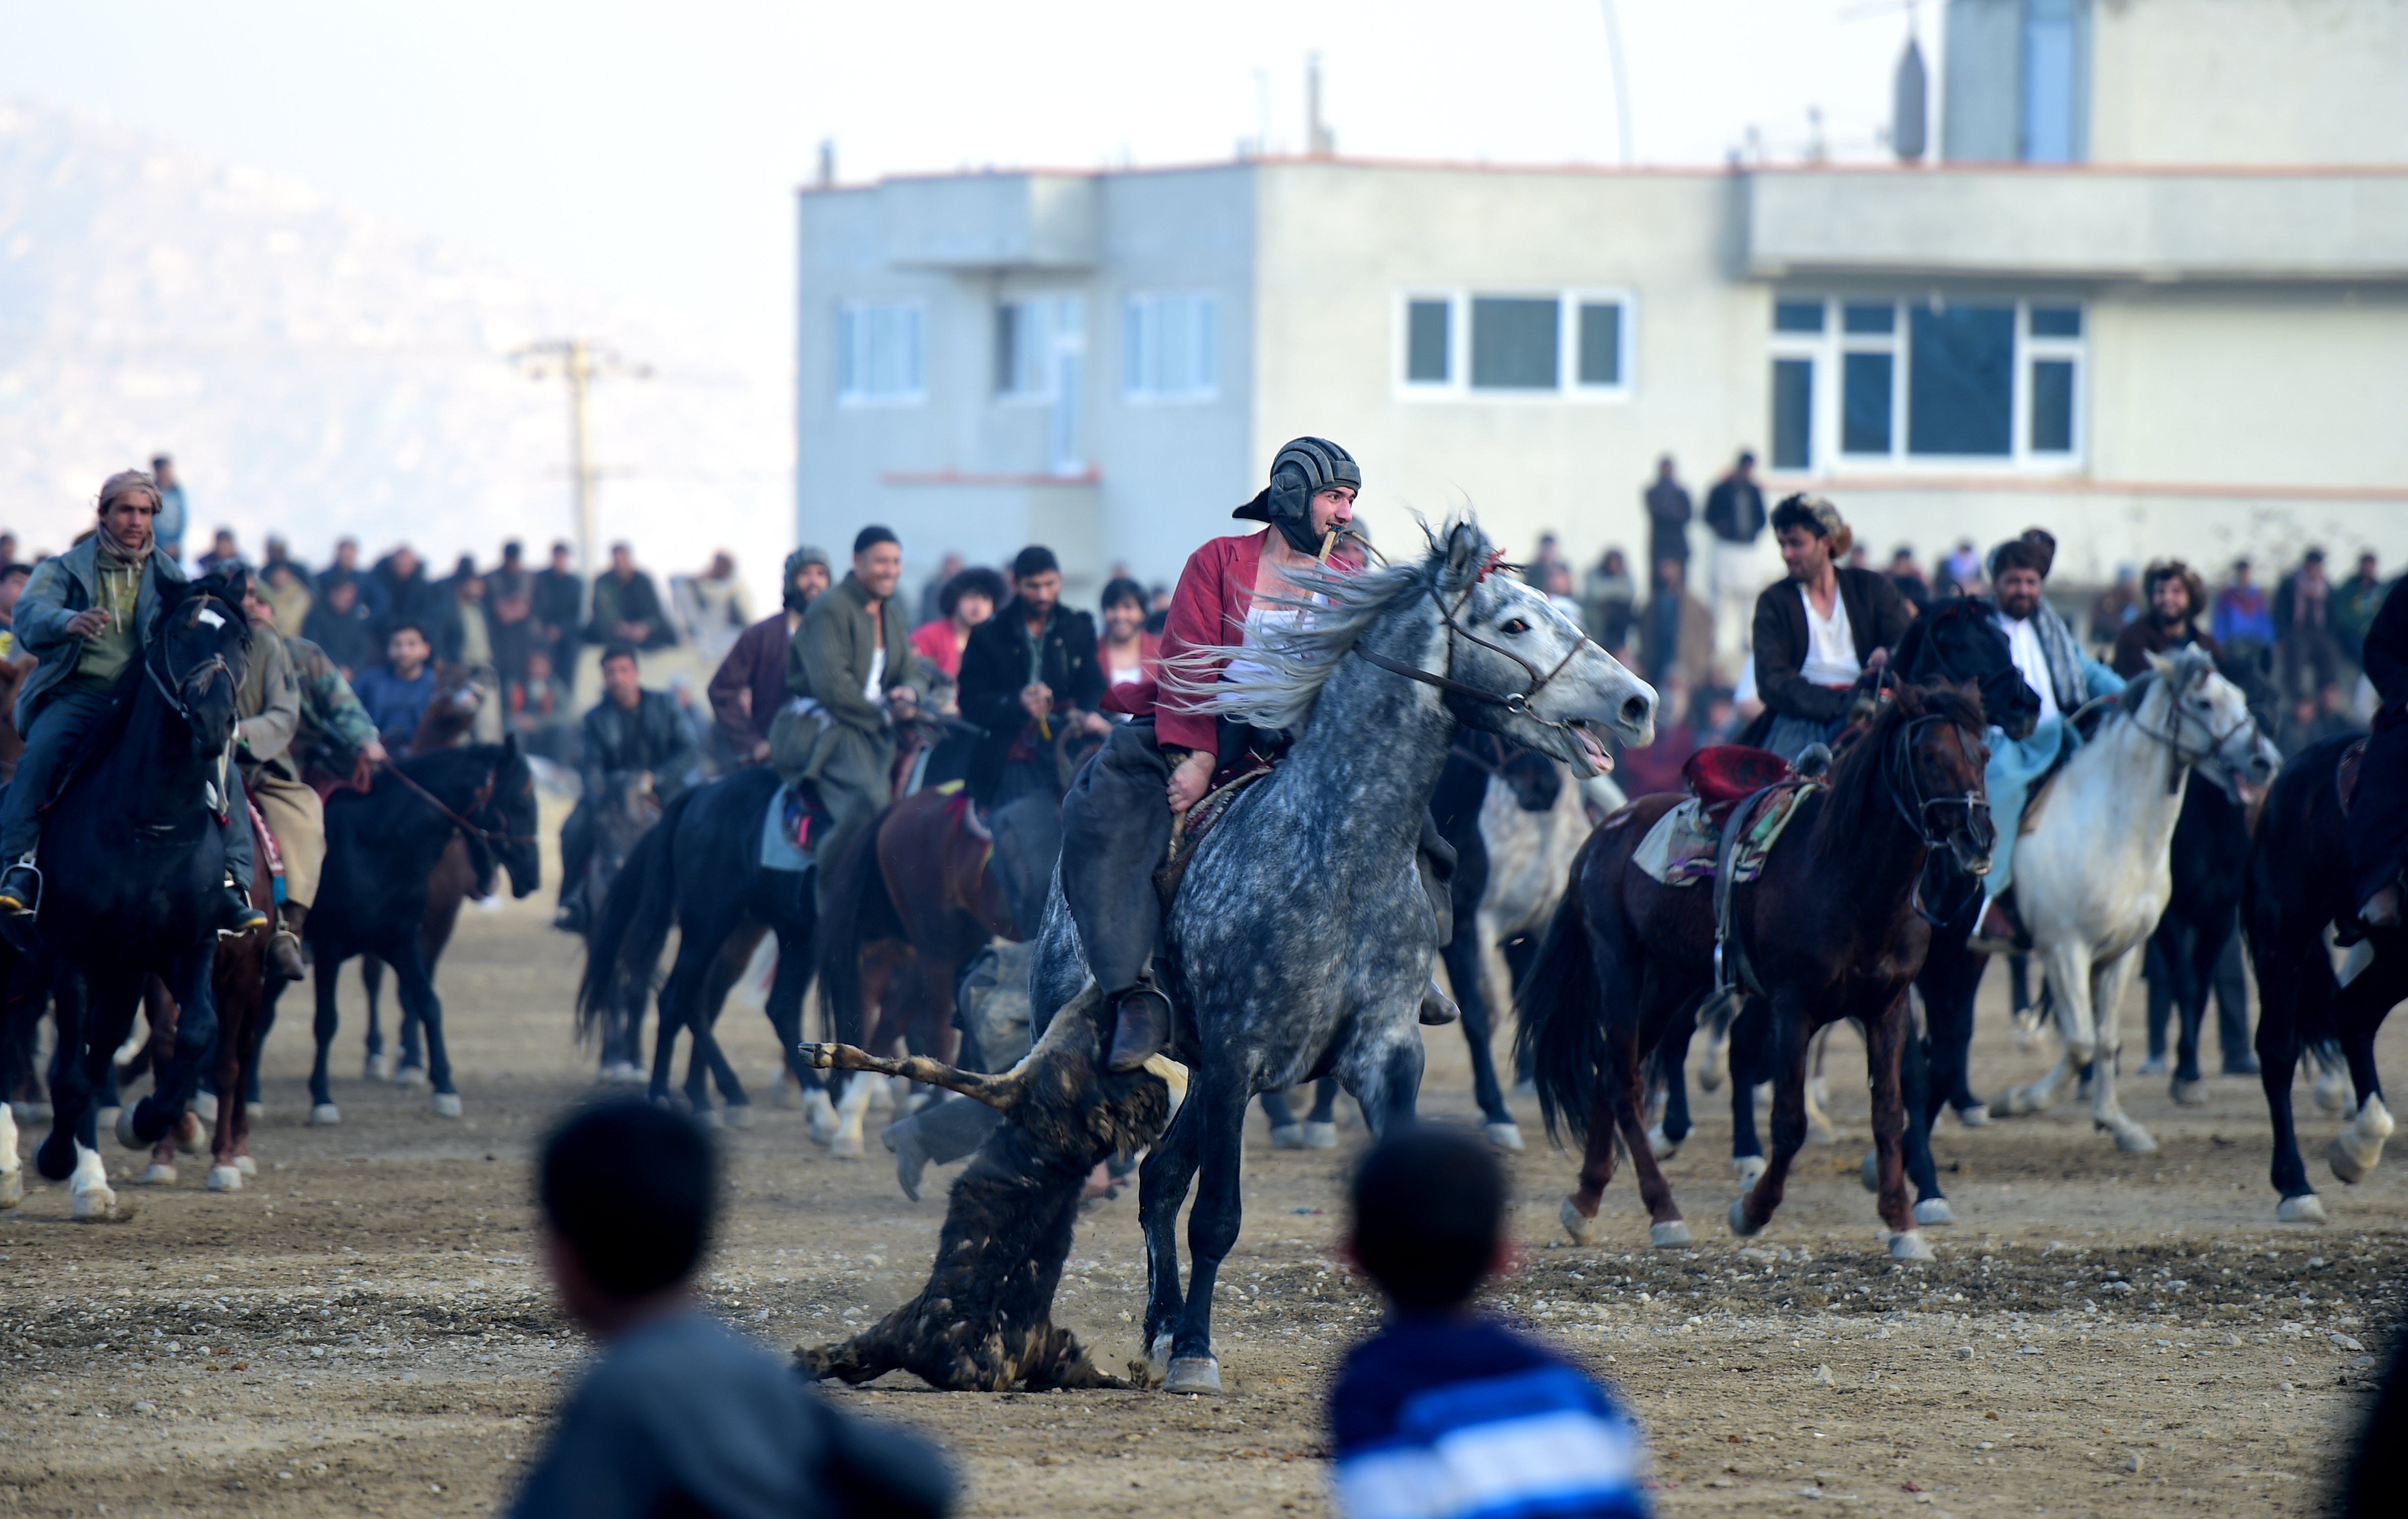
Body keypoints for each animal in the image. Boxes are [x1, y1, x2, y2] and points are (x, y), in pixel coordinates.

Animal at [11, 575, 254, 1218]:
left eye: (241, 639)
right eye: (176, 634)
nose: (215, 720)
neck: (150, 827)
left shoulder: (185, 946)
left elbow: (195, 1033)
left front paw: (147, 1122)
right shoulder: (72, 953)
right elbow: (72, 1075)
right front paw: (59, 1160)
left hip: (119, 977)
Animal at [301, 741, 541, 1122]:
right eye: (520, 802)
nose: (533, 877)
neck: (373, 845)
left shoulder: (401, 940)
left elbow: (429, 1002)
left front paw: (444, 1087)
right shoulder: (328, 947)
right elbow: (326, 1021)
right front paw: (322, 1099)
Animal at [1016, 517, 1656, 1396]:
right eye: (1515, 623)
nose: (1639, 701)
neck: (1336, 851)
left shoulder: (1382, 1054)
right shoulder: (1237, 1058)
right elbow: (1218, 1216)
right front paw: (1198, 1354)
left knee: (1159, 1180)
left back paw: (1159, 1326)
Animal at [1522, 688, 1994, 1261]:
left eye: (1983, 754)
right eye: (1929, 757)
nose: (1980, 838)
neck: (1849, 882)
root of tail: (1601, 834)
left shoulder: (1889, 1006)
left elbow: (1888, 1113)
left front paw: (1903, 1224)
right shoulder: (1792, 1009)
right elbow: (1789, 1124)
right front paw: (1752, 1211)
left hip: (1672, 979)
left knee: (1612, 1072)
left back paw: (1585, 1202)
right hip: (1620, 969)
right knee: (1627, 1082)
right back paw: (1664, 1211)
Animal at [1994, 650, 2273, 1146]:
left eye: (2241, 697)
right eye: (2203, 702)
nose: (2262, 760)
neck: (2107, 823)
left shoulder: (2120, 952)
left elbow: (2104, 1039)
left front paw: (2116, 1122)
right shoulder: (2063, 950)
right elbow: (2081, 1042)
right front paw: (2021, 1100)